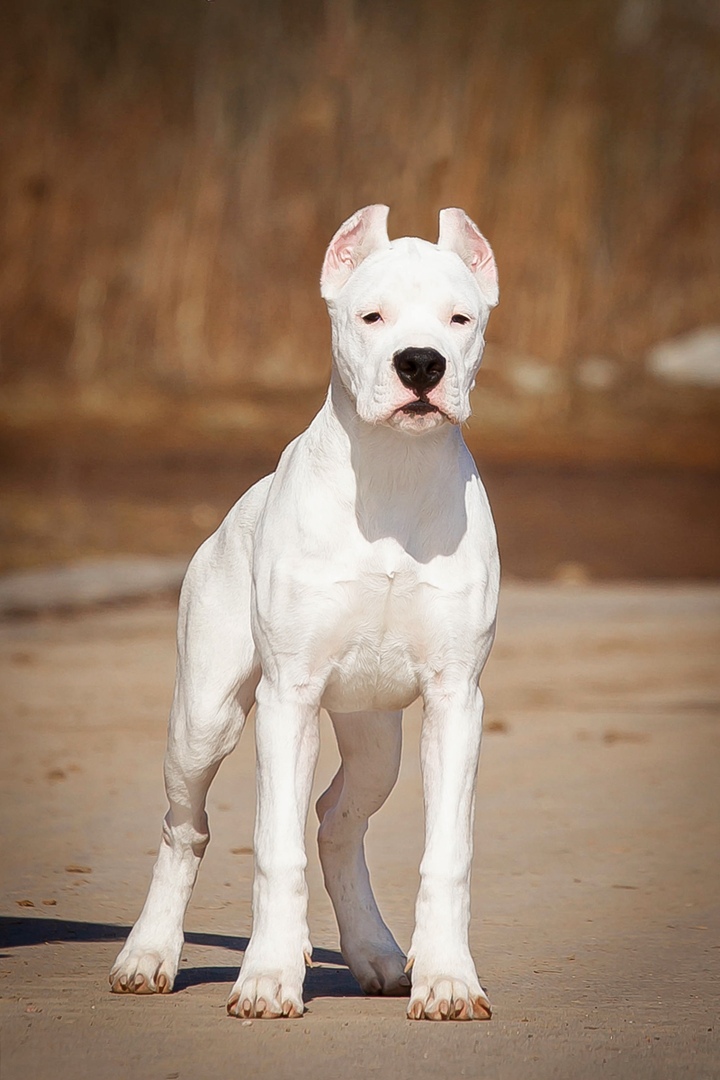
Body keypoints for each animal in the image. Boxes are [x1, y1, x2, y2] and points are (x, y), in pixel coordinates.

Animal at [111, 206, 500, 1023]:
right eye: (371, 316)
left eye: (460, 318)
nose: (422, 365)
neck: (390, 474)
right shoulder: (287, 696)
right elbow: (273, 849)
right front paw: (265, 978)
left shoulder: (456, 700)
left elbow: (446, 853)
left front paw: (448, 979)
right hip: (204, 720)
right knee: (185, 829)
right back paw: (149, 953)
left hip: (378, 739)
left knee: (336, 820)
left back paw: (378, 952)